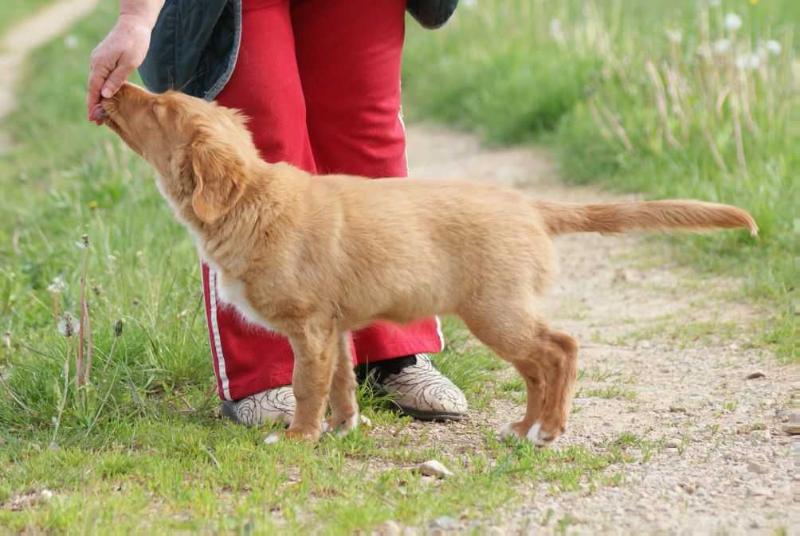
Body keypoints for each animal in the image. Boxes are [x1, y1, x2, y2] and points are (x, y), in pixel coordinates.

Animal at [98, 82, 756, 444]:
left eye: (160, 109)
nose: (116, 87)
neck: (254, 200)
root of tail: (530, 205)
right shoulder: (334, 328)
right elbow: (342, 383)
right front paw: (345, 429)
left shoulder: (308, 327)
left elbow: (307, 386)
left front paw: (299, 437)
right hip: (500, 312)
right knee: (538, 366)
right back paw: (523, 428)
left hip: (496, 309)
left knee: (558, 351)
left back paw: (548, 430)